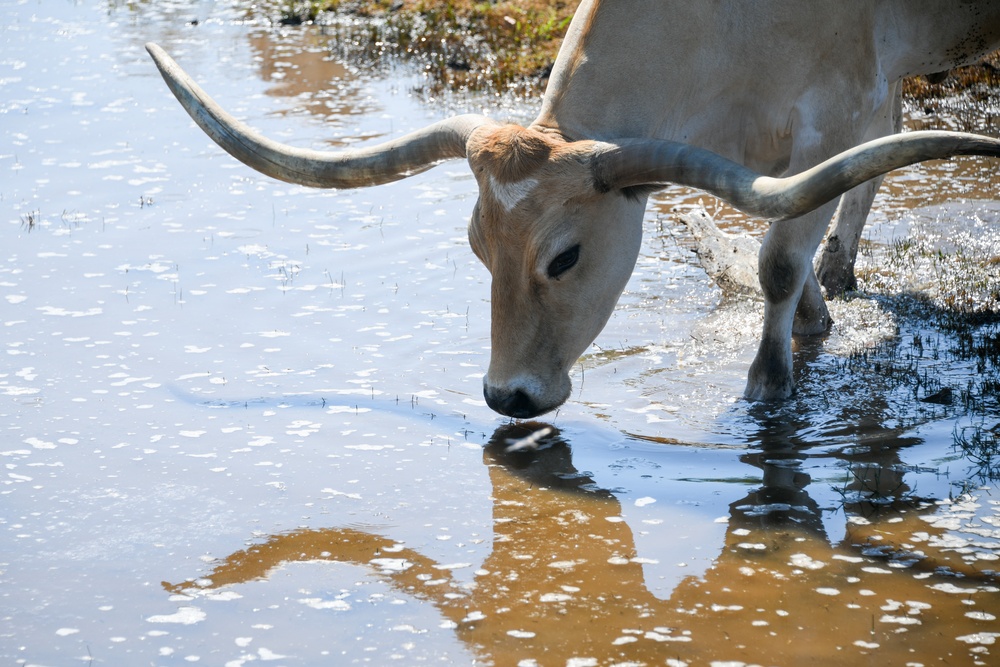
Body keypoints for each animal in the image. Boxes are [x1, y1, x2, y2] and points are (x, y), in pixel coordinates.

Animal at [145, 0, 1000, 418]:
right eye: (477, 248)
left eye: (564, 257)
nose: (506, 396)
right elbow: (809, 211)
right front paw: (819, 317)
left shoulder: (837, 109)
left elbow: (778, 258)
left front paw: (766, 386)